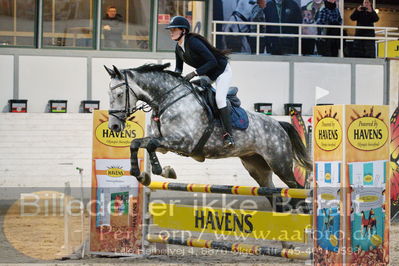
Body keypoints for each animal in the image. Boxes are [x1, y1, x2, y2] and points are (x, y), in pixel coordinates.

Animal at [104, 62, 312, 200]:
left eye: (120, 94)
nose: (114, 126)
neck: (168, 99)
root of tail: (278, 125)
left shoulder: (184, 142)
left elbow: (151, 145)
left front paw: (160, 170)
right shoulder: (164, 142)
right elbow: (139, 143)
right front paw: (142, 174)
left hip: (280, 163)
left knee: (298, 188)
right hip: (257, 167)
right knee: (274, 195)